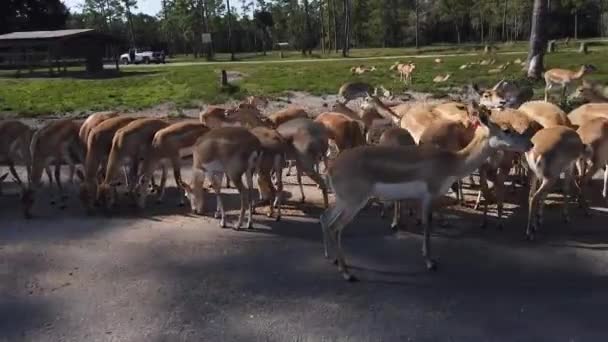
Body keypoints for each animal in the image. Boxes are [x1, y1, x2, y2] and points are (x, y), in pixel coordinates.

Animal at [318, 103, 532, 280]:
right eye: (506, 130)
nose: (529, 144)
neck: (451, 162)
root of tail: (332, 168)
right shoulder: (429, 196)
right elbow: (427, 227)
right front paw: (430, 262)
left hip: (343, 201)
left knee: (325, 218)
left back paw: (332, 259)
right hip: (354, 203)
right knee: (336, 227)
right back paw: (347, 273)